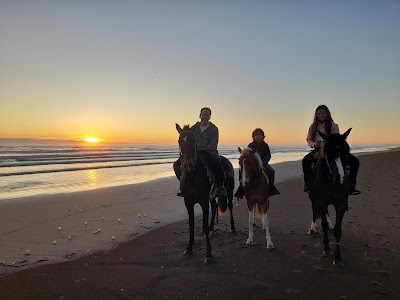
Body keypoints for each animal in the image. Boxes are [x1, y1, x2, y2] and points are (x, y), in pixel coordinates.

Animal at [174, 123, 234, 262]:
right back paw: (212, 229)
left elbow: (204, 225)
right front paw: (189, 247)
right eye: (180, 141)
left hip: (229, 191)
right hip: (212, 197)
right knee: (215, 206)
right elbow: (191, 224)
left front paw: (208, 254)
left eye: (193, 140)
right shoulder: (188, 202)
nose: (188, 165)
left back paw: (232, 228)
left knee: (230, 206)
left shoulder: (203, 202)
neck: (193, 175)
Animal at [310, 127, 354, 266]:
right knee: (314, 211)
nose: (341, 179)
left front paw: (338, 257)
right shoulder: (321, 202)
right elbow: (323, 224)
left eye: (346, 153)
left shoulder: (341, 205)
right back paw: (312, 228)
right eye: (328, 154)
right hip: (313, 199)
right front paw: (326, 248)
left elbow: (337, 229)